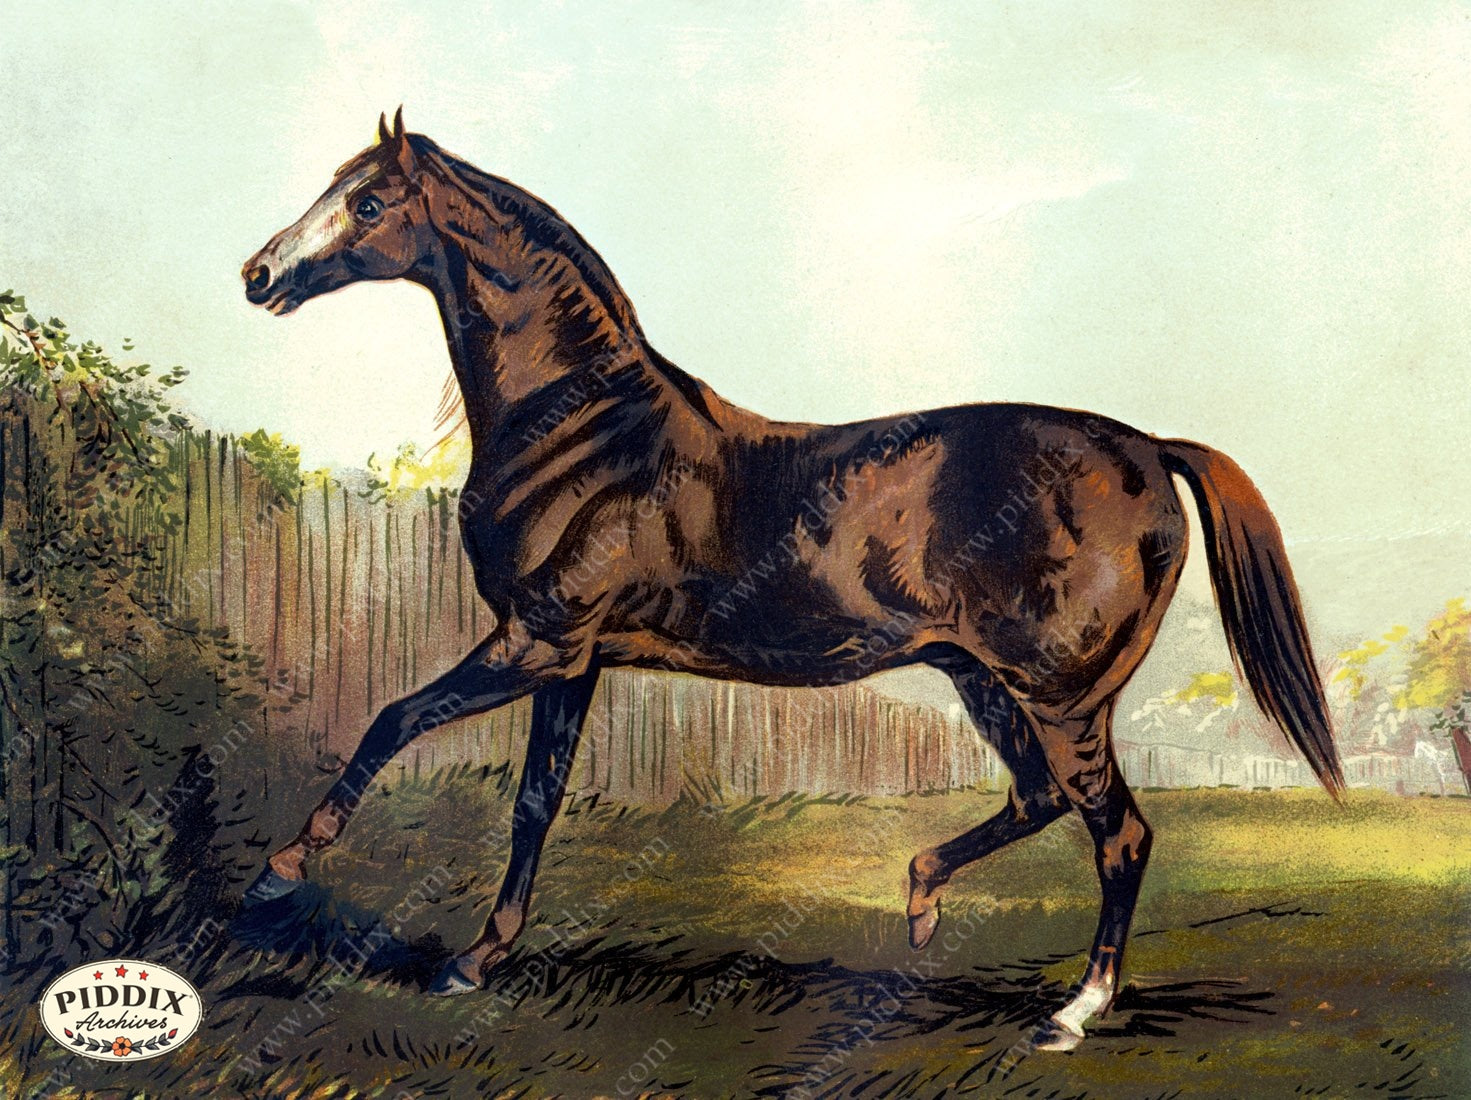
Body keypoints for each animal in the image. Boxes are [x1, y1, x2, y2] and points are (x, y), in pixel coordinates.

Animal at [241, 110, 1342, 1049]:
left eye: (368, 202)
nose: (258, 273)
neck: (586, 430)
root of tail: (1148, 449)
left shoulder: (534, 640)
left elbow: (392, 718)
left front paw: (281, 873)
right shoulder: (570, 660)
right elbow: (533, 803)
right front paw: (476, 957)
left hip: (1063, 695)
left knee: (1119, 836)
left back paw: (1072, 1011)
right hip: (983, 679)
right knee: (1039, 800)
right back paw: (919, 899)